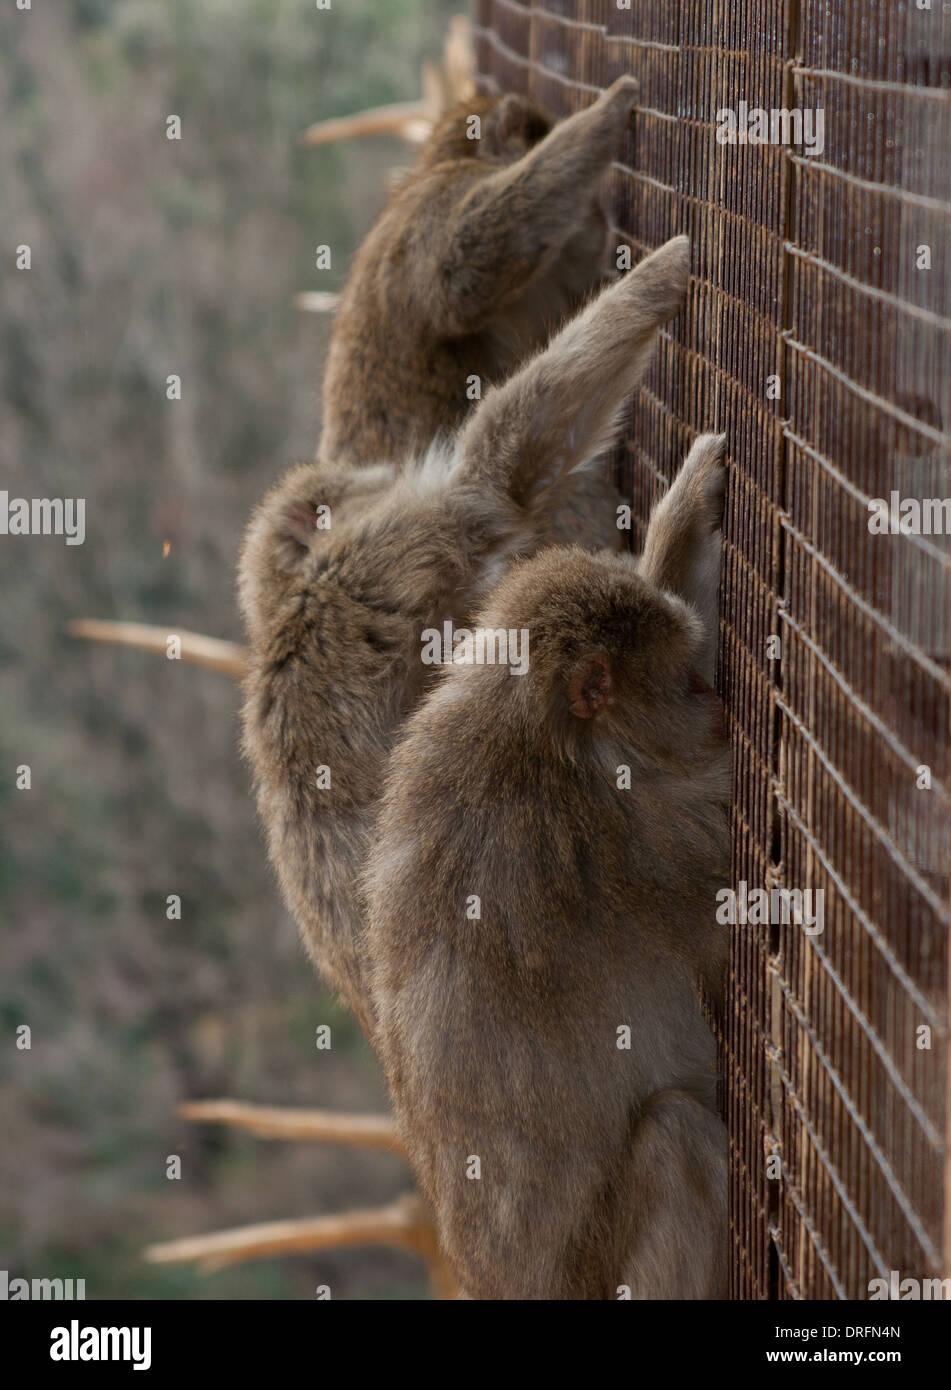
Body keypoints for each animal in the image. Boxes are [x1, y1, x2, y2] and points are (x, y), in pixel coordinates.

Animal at [362, 432, 730, 1300]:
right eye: (687, 680)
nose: (715, 708)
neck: (539, 732)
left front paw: (683, 516)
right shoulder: (637, 831)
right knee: (676, 1138)